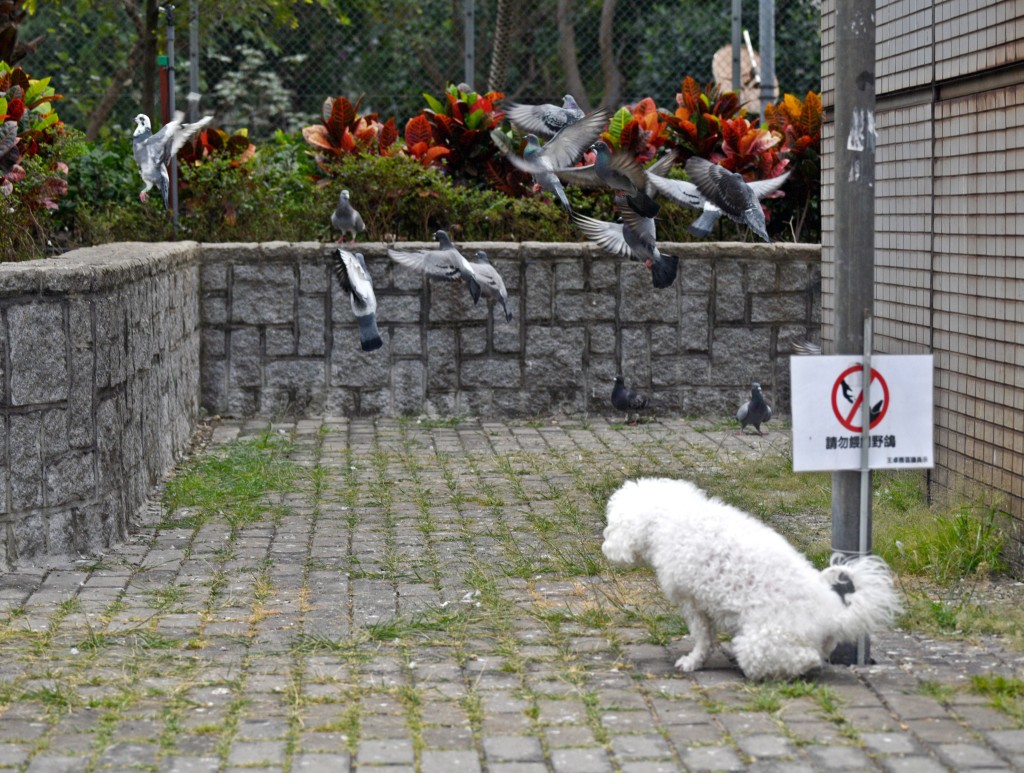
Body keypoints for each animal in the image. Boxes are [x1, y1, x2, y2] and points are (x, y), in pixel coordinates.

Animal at [602, 475, 901, 679]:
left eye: (612, 524)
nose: (605, 547)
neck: (671, 516)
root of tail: (833, 617)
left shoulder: (694, 604)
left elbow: (702, 639)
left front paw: (693, 661)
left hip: (759, 641)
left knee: (805, 659)